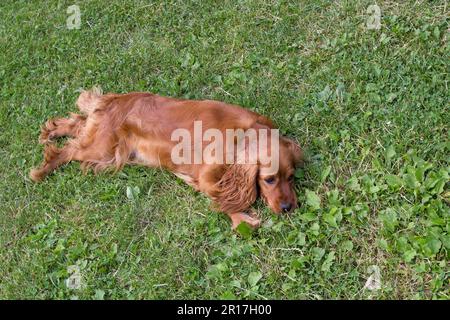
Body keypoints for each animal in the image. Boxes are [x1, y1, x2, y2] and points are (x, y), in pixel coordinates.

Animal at [30, 89, 302, 230]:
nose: (288, 208)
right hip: (103, 150)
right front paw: (241, 218)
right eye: (269, 180)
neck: (243, 134)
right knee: (68, 151)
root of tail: (114, 100)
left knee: (78, 124)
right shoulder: (206, 174)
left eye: (290, 178)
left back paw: (52, 131)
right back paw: (41, 170)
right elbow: (219, 195)